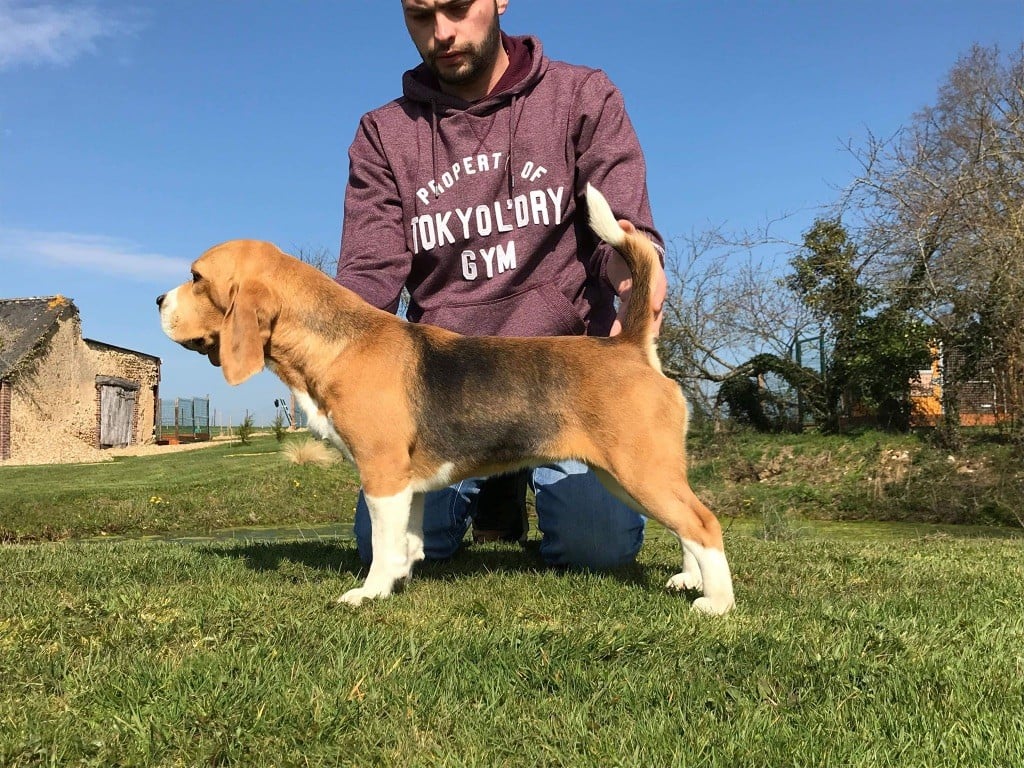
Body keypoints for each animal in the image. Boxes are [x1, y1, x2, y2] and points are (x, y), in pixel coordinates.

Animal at [157, 183, 737, 618]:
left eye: (197, 278)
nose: (158, 300)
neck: (339, 341)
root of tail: (629, 345)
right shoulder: (407, 484)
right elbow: (406, 541)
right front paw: (399, 578)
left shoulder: (383, 474)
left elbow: (383, 546)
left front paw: (368, 593)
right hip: (629, 475)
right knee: (685, 524)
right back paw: (689, 580)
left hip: (639, 470)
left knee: (704, 523)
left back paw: (717, 603)